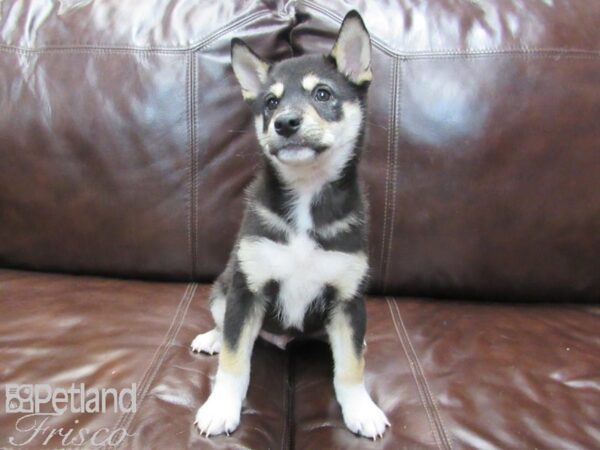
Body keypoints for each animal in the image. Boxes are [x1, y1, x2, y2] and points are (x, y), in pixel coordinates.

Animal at [191, 9, 390, 440]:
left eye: (323, 95)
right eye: (270, 102)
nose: (285, 123)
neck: (305, 199)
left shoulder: (347, 300)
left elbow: (350, 367)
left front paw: (361, 408)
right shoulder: (247, 290)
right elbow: (234, 359)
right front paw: (221, 407)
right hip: (224, 285)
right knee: (223, 323)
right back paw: (212, 337)